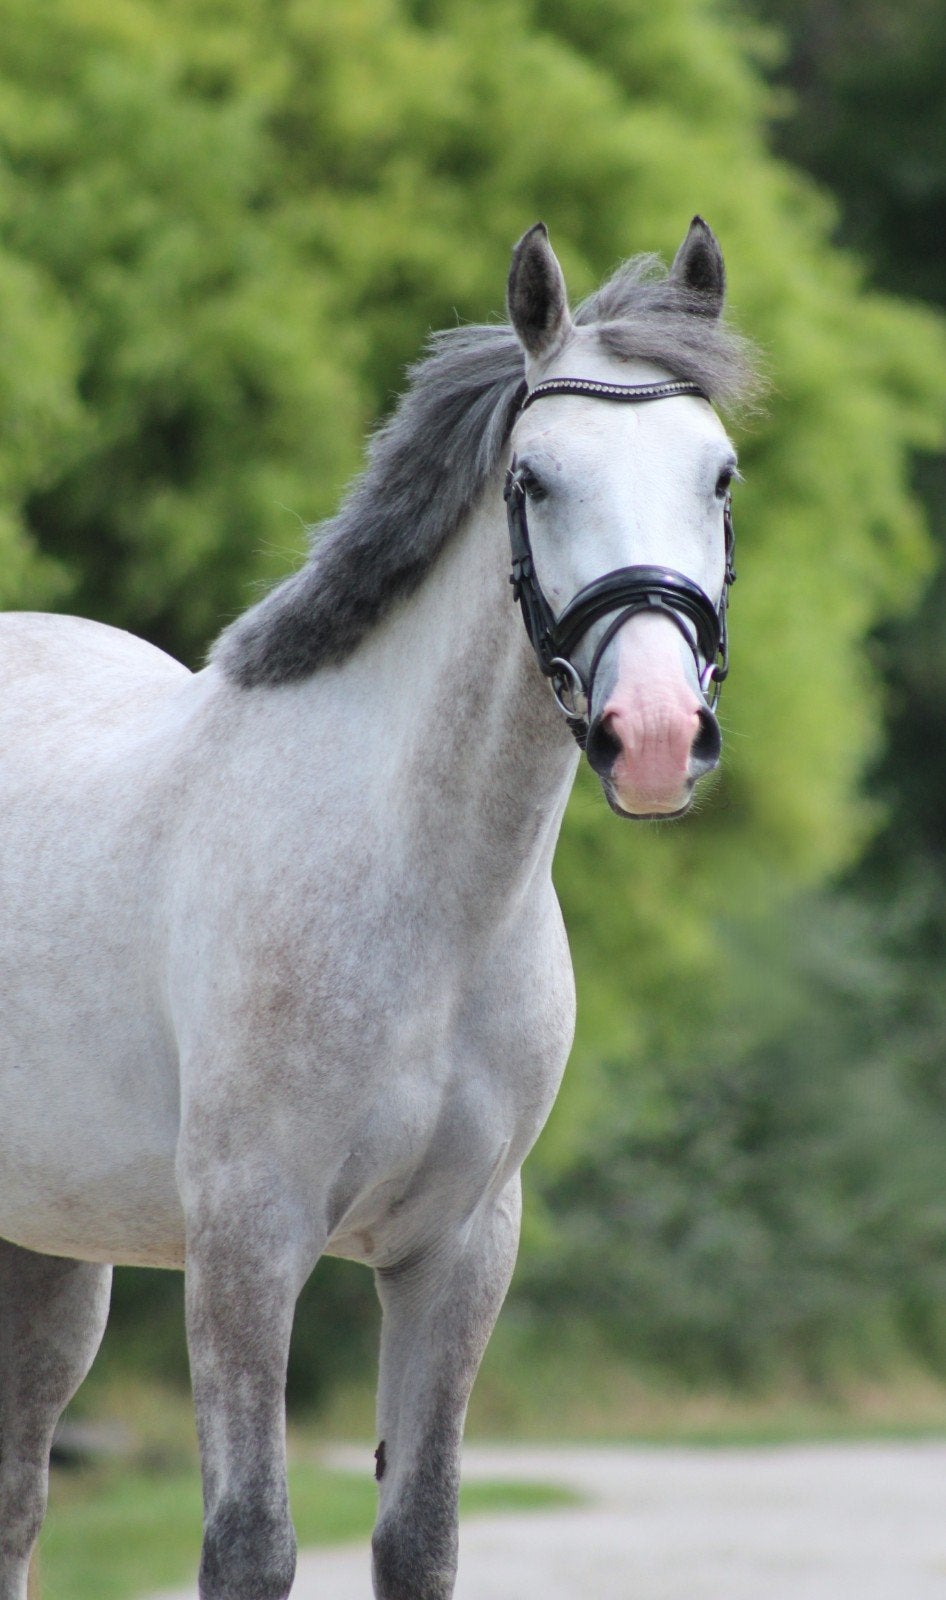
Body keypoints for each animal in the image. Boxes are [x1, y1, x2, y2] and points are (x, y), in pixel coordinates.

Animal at [0, 218, 751, 1600]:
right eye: (534, 480)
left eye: (718, 476)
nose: (655, 736)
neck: (421, 894)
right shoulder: (246, 1244)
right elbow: (250, 1546)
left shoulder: (456, 1252)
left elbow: (421, 1539)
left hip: (47, 1256)